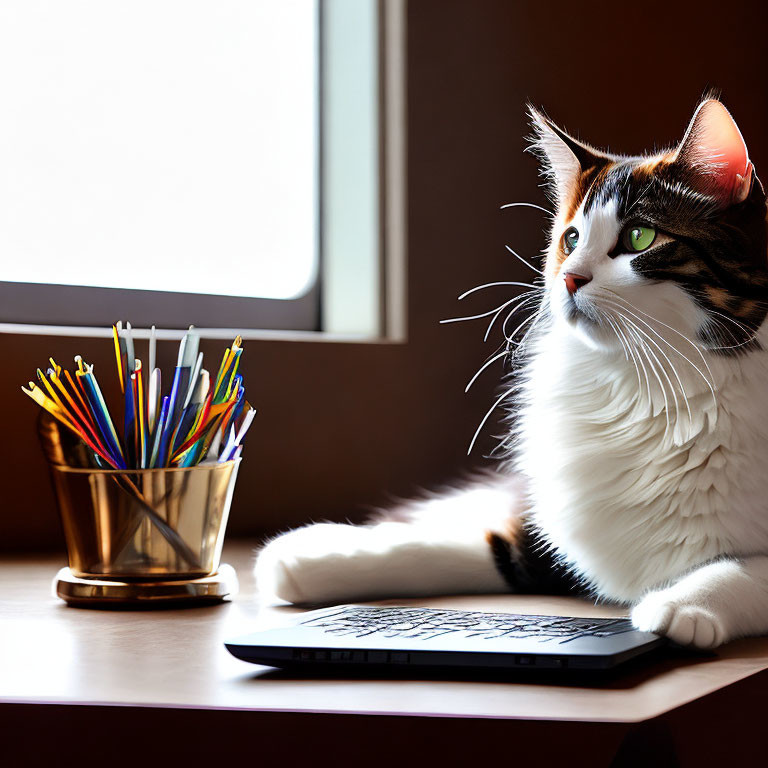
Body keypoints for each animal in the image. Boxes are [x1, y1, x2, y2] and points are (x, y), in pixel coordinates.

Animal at [254, 94, 768, 648]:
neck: (656, 392)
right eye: (571, 238)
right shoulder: (554, 530)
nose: (569, 279)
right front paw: (311, 559)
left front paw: (683, 604)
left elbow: (745, 570)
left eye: (639, 236)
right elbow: (467, 547)